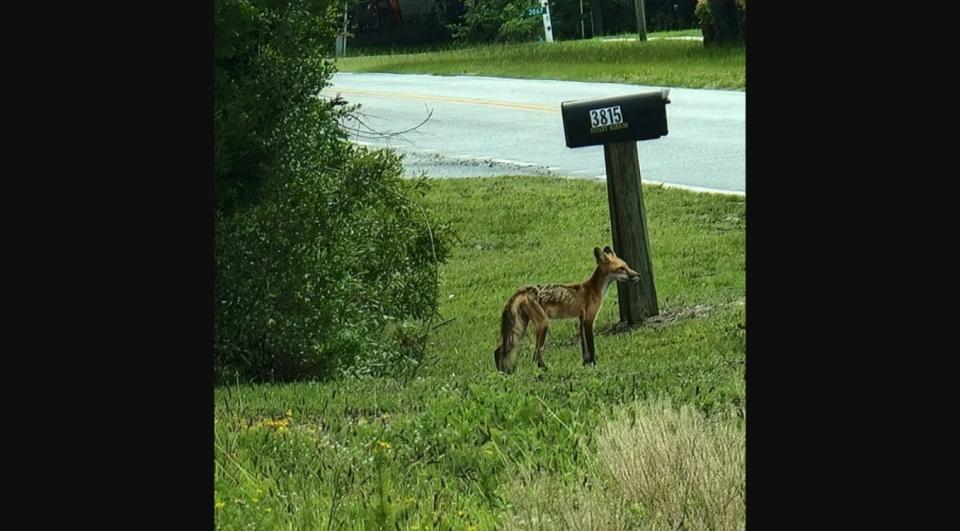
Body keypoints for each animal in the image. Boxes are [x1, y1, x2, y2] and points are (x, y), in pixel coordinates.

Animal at [492, 246, 640, 374]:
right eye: (621, 268)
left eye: (627, 266)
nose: (637, 275)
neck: (593, 289)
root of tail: (522, 290)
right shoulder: (588, 320)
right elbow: (591, 346)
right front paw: (594, 365)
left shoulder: (581, 320)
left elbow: (584, 348)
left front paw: (585, 364)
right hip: (543, 324)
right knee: (535, 356)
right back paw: (545, 370)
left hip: (520, 328)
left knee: (499, 350)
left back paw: (503, 374)